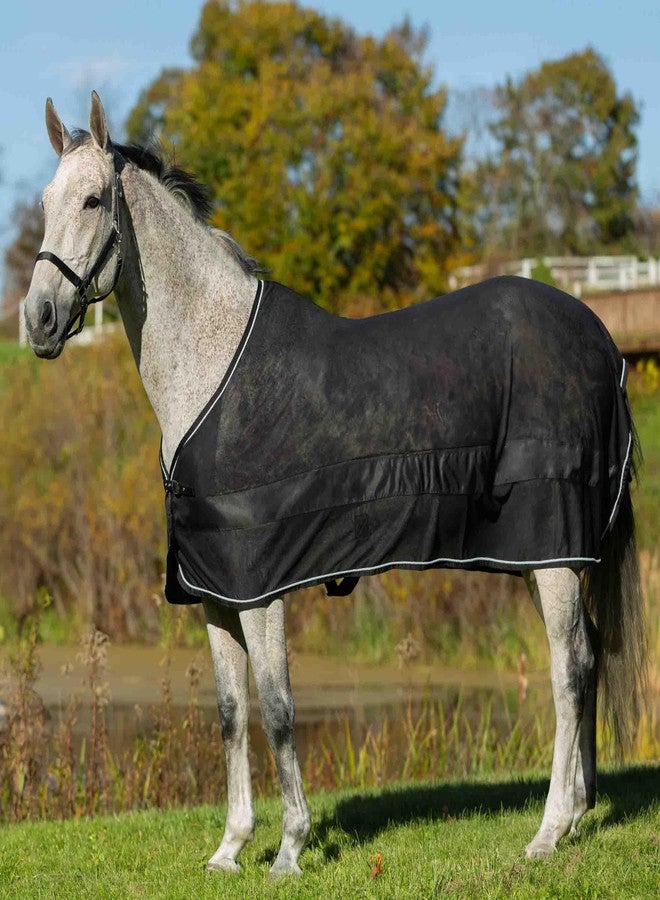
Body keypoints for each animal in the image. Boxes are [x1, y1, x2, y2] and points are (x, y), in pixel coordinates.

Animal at [23, 92, 646, 877]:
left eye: (94, 199)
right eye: (45, 202)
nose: (38, 319)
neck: (213, 367)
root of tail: (600, 339)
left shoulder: (261, 588)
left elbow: (280, 706)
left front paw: (291, 848)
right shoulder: (214, 590)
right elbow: (231, 713)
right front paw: (230, 848)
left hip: (555, 550)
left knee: (571, 666)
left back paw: (549, 829)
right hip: (547, 555)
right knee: (586, 659)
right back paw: (582, 812)